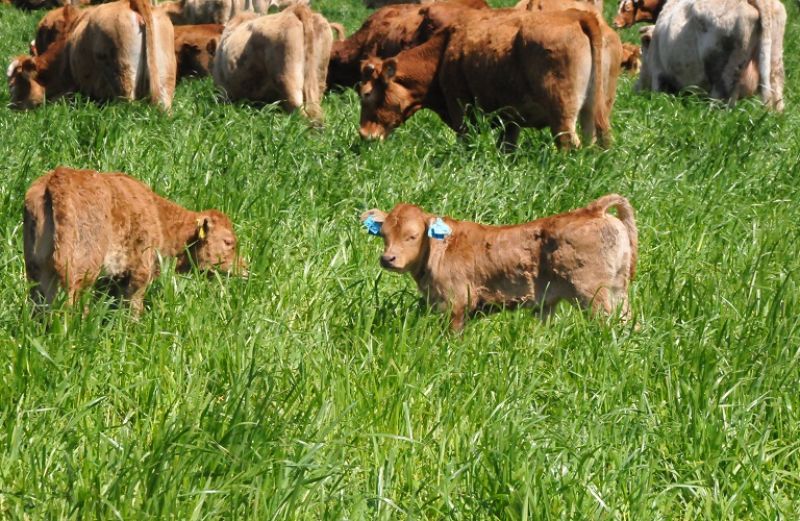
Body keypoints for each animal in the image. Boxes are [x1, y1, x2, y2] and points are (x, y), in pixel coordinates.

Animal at [25, 167, 245, 312]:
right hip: (80, 272)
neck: (159, 216)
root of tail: (58, 177)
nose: (244, 268)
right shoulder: (139, 274)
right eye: (228, 242)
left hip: (37, 271)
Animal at [360, 9, 612, 149]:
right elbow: (507, 147)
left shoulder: (460, 108)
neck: (445, 50)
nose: (364, 135)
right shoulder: (511, 119)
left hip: (561, 114)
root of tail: (577, 15)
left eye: (366, 94)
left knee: (569, 144)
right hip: (592, 111)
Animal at [360, 193, 636, 332]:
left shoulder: (455, 303)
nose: (388, 259)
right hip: (618, 290)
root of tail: (593, 210)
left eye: (412, 236)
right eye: (384, 234)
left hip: (593, 293)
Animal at [636, 0, 788, 111]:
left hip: (723, 76)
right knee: (777, 99)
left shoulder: (658, 75)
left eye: (642, 51)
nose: (636, 89)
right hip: (775, 63)